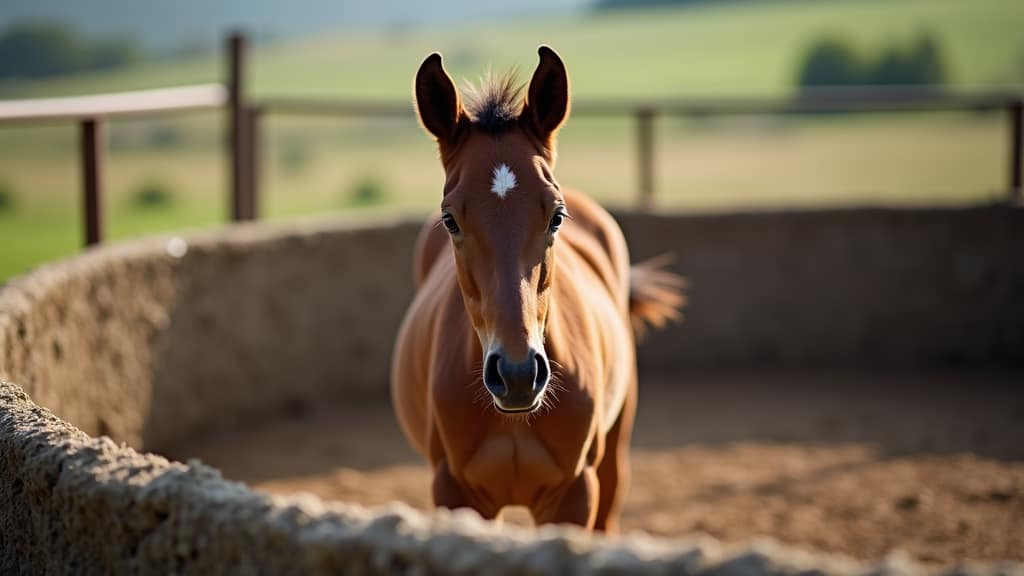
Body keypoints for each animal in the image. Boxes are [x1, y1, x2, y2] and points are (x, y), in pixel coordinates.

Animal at [391, 46, 684, 532]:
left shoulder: (574, 494)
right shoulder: (454, 493)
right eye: (451, 219)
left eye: (556, 216)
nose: (517, 374)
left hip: (612, 459)